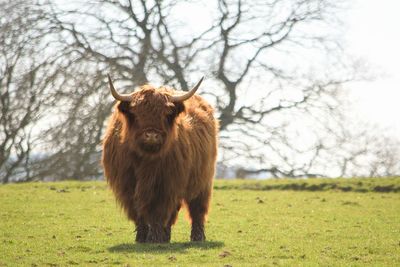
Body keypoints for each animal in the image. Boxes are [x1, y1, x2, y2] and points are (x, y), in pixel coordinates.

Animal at [101, 74, 217, 244]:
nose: (151, 135)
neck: (145, 160)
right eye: (137, 113)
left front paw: (154, 237)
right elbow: (139, 211)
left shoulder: (165, 184)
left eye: (165, 114)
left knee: (197, 209)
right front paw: (142, 237)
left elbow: (158, 211)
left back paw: (197, 237)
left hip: (203, 180)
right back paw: (165, 236)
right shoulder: (128, 185)